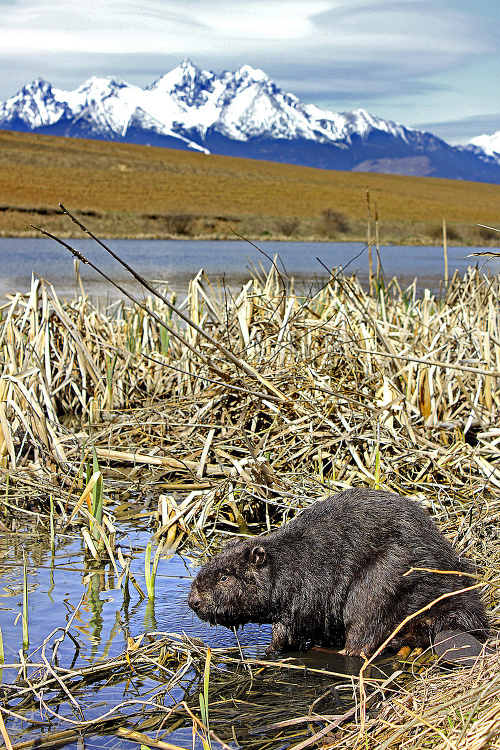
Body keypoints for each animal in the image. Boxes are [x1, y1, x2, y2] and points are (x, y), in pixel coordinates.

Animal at [188, 488, 488, 656]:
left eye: (224, 577)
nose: (193, 602)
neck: (290, 560)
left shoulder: (306, 593)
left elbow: (287, 630)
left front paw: (269, 650)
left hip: (380, 581)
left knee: (361, 639)